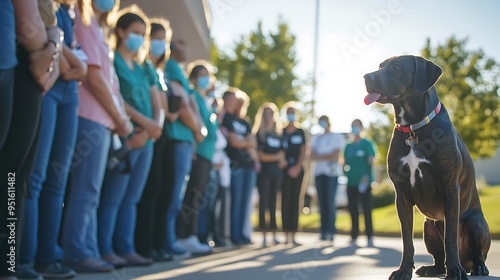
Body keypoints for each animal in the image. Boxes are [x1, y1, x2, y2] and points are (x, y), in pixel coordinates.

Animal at [366, 55, 490, 280]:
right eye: (380, 66)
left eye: (396, 67)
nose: (366, 77)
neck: (413, 128)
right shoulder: (401, 194)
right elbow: (407, 240)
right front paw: (404, 270)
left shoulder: (450, 187)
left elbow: (450, 238)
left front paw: (455, 271)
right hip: (428, 227)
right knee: (439, 258)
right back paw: (432, 268)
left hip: (476, 224)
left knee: (476, 253)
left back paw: (476, 267)